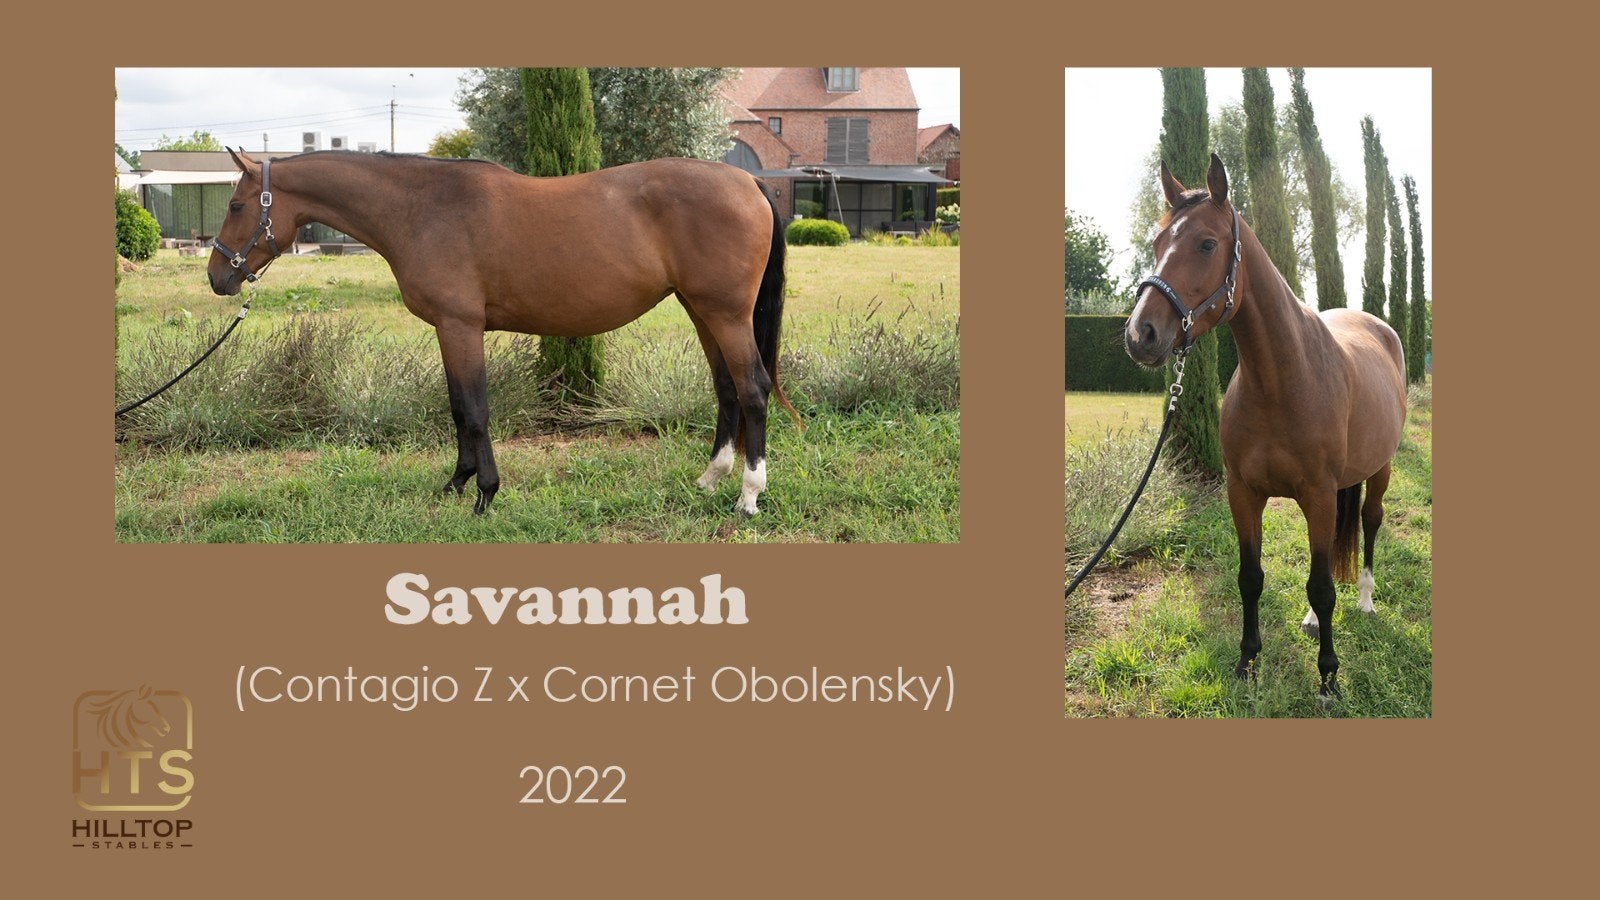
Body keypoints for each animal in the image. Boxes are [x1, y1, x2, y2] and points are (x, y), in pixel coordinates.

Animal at [207, 149, 796, 516]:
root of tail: (748, 181)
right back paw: (710, 479)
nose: (218, 277)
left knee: (753, 389)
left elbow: (473, 409)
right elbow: (456, 408)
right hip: (702, 311)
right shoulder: (450, 330)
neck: (421, 208)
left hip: (724, 314)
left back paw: (749, 495)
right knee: (726, 390)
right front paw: (456, 483)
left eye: (235, 205)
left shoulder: (460, 326)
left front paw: (485, 494)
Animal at [1124, 154, 1406, 699]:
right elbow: (1251, 577)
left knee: (1370, 521)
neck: (1281, 381)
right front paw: (1247, 662)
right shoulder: (1244, 492)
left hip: (1378, 470)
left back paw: (1364, 600)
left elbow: (1321, 585)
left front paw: (1328, 678)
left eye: (1207, 243)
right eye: (1156, 242)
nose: (1140, 334)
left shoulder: (1318, 494)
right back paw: (1315, 621)